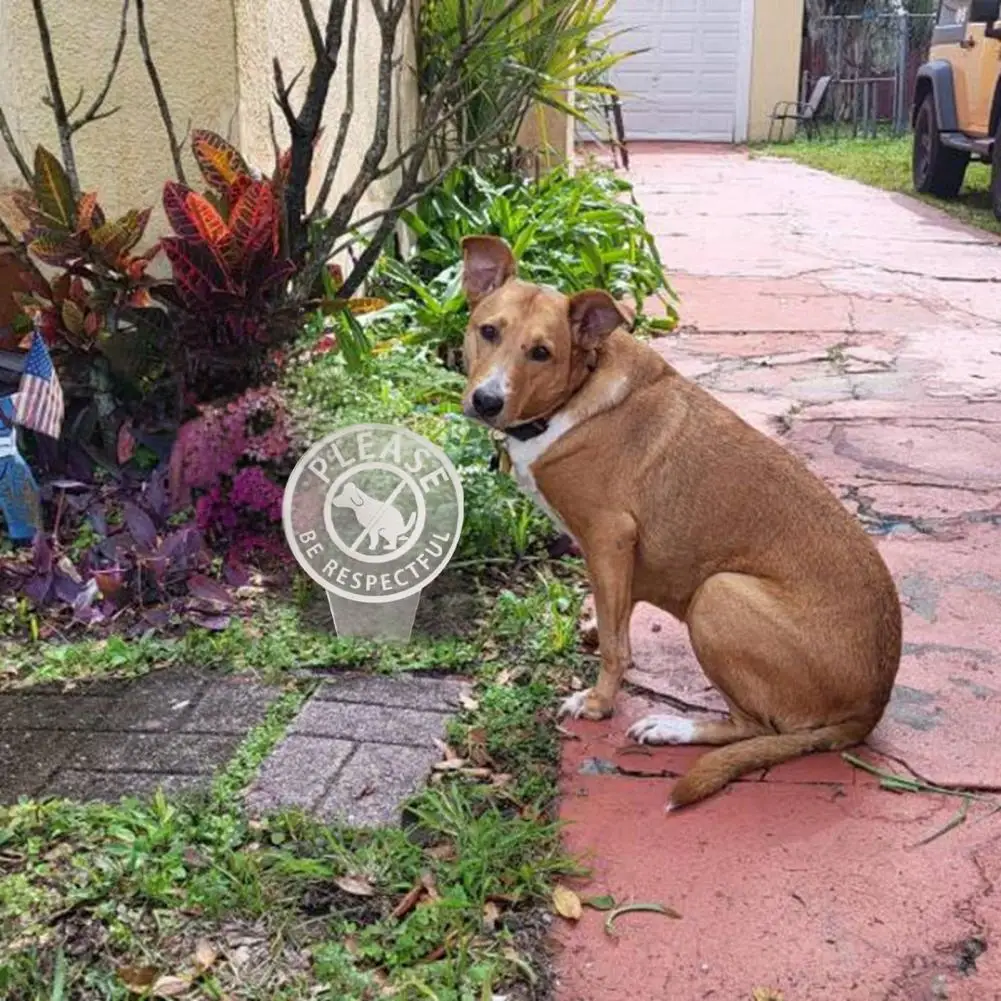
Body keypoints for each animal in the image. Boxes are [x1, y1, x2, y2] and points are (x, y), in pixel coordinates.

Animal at [460, 234, 908, 812]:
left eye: (542, 353)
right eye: (488, 330)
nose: (486, 401)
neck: (574, 395)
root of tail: (870, 708)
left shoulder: (610, 536)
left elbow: (617, 647)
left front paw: (599, 702)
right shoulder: (618, 559)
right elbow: (616, 615)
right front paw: (596, 628)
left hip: (718, 594)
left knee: (752, 727)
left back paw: (673, 728)